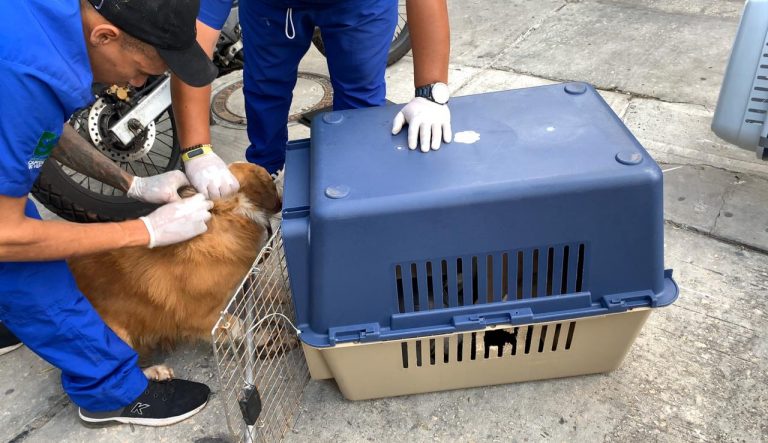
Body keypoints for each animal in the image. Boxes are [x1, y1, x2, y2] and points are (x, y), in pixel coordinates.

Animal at [67, 163, 280, 378]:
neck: (225, 213)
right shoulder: (202, 316)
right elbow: (239, 326)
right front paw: (262, 336)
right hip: (113, 335)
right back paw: (155, 371)